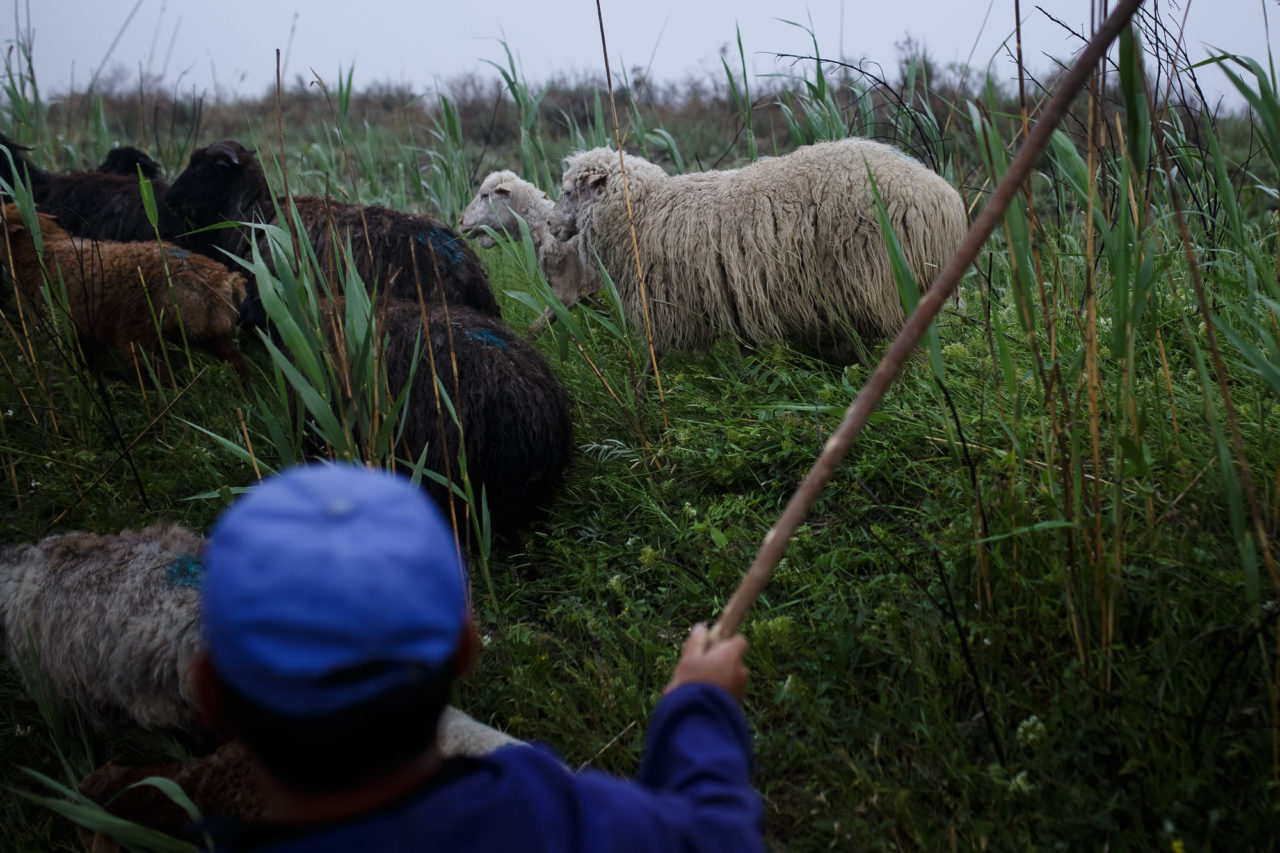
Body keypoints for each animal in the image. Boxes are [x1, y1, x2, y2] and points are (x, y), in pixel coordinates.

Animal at [460, 167, 599, 333]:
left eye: (485, 195)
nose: (461, 221)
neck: (544, 233)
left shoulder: (565, 293)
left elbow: (533, 329)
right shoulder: (590, 295)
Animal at [545, 138, 962, 356]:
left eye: (568, 191)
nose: (549, 225)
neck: (644, 210)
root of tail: (942, 196)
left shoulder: (675, 310)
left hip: (878, 281)